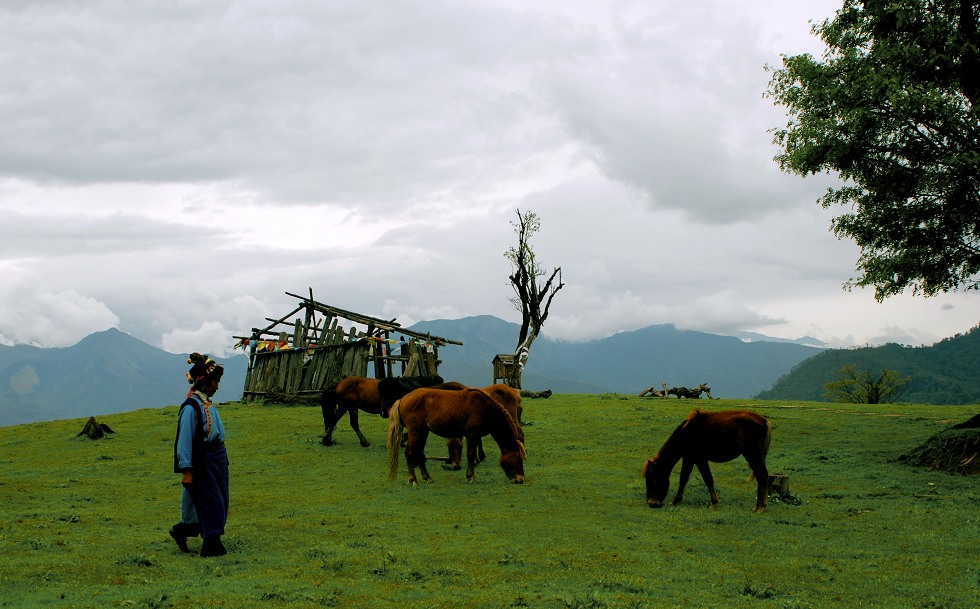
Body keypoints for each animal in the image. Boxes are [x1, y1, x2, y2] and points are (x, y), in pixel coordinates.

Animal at [384, 390, 528, 484]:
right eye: (518, 459)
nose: (520, 479)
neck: (485, 408)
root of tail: (402, 399)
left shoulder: (474, 436)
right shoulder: (471, 435)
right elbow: (470, 455)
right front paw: (470, 476)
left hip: (423, 432)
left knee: (417, 453)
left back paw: (426, 477)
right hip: (416, 432)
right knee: (410, 453)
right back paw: (413, 479)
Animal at [644, 408, 772, 512]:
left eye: (653, 480)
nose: (651, 503)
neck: (687, 433)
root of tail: (763, 420)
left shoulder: (700, 459)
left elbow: (708, 479)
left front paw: (714, 503)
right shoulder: (689, 458)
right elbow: (683, 479)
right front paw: (675, 501)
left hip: (754, 455)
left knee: (762, 476)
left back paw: (761, 507)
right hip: (752, 456)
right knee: (760, 476)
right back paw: (757, 506)